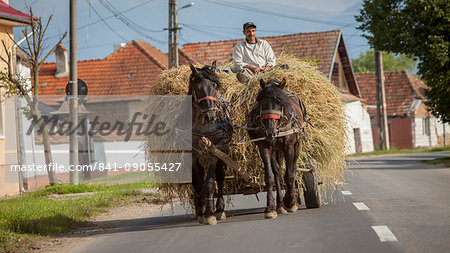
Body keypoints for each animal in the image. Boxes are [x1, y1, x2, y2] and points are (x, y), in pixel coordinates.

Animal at [188, 61, 234, 225]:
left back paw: (219, 209)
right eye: (197, 87)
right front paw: (201, 211)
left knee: (219, 176)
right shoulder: (192, 153)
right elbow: (197, 181)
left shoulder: (215, 150)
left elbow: (209, 182)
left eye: (214, 86)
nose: (211, 116)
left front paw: (210, 214)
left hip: (223, 150)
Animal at [246, 78, 306, 218]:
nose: (270, 131)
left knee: (293, 168)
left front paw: (290, 202)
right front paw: (270, 208)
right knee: (278, 172)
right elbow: (270, 176)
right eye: (262, 102)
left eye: (279, 102)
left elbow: (289, 174)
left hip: (297, 144)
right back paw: (280, 205)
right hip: (275, 150)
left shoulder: (289, 146)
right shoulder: (264, 147)